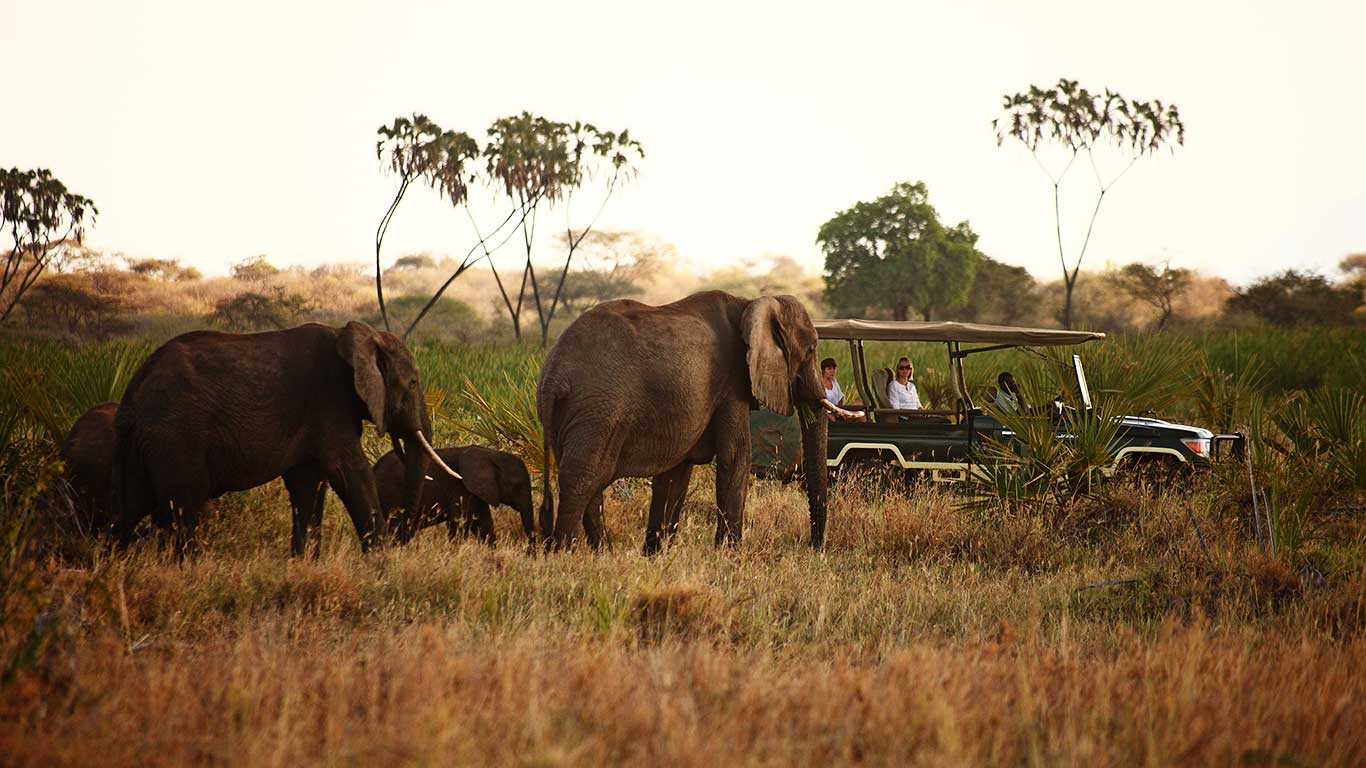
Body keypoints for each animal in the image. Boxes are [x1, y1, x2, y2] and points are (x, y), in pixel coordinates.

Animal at [110, 321, 459, 556]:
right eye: (412, 383)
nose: (401, 538)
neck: (355, 336)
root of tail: (137, 383)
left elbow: (307, 483)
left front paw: (305, 564)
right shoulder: (328, 402)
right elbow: (350, 473)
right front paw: (381, 564)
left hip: (138, 442)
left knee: (127, 508)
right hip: (177, 436)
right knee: (187, 508)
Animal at [373, 445, 535, 546]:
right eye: (517, 486)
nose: (531, 555)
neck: (492, 454)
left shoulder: (477, 491)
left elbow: (484, 525)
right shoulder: (461, 488)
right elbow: (460, 524)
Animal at [536, 291, 855, 553]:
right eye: (811, 349)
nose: (814, 547)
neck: (749, 303)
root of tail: (553, 375)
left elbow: (676, 473)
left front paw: (655, 556)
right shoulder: (732, 381)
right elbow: (736, 456)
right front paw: (729, 556)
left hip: (575, 416)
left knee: (589, 481)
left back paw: (602, 554)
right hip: (599, 410)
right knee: (583, 478)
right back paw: (566, 554)